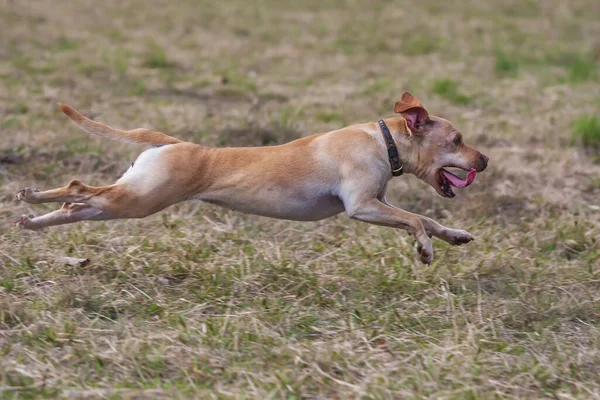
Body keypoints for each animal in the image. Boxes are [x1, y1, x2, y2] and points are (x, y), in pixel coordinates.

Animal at [14, 92, 488, 264]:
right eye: (457, 139)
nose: (484, 160)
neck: (384, 139)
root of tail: (171, 143)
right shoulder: (363, 207)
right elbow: (414, 219)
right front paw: (425, 249)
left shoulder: (378, 203)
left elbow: (427, 219)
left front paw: (453, 235)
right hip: (138, 200)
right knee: (78, 190)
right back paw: (31, 198)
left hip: (126, 200)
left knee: (74, 205)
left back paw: (31, 216)